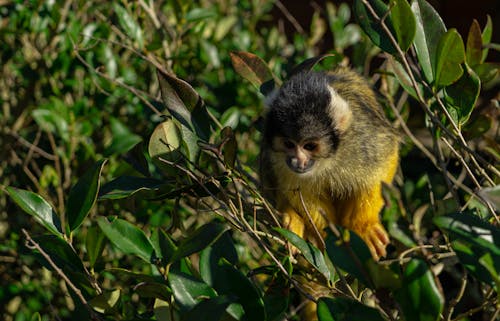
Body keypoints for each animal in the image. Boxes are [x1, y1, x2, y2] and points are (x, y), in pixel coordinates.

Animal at [262, 67, 398, 260]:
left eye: (310, 146)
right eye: (289, 144)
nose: (297, 161)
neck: (326, 162)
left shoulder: (362, 138)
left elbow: (385, 160)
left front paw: (362, 226)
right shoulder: (280, 160)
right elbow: (300, 192)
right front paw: (323, 236)